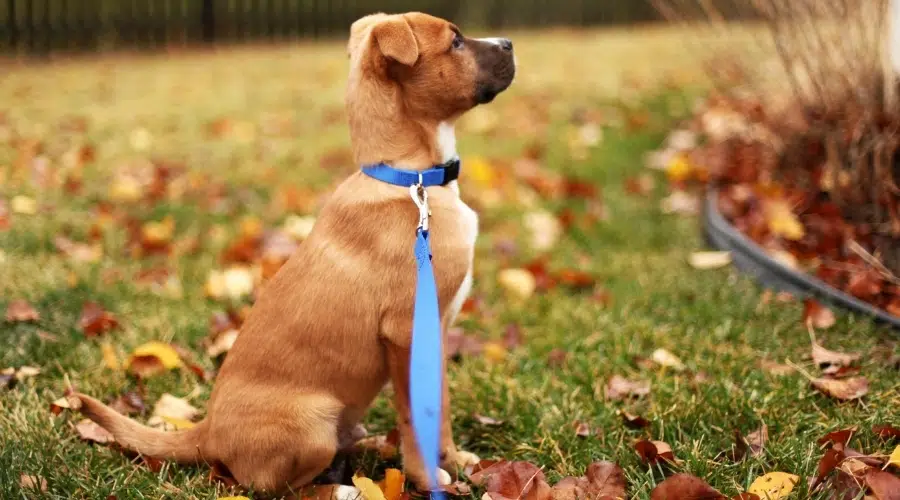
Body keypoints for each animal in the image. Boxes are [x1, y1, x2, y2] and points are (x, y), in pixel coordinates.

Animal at [70, 9, 512, 498]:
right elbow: (421, 415)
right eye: (455, 42)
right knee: (277, 488)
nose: (509, 43)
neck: (409, 179)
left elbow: (441, 409)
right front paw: (426, 476)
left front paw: (454, 460)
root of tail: (207, 432)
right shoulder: (408, 332)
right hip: (313, 420)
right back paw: (343, 487)